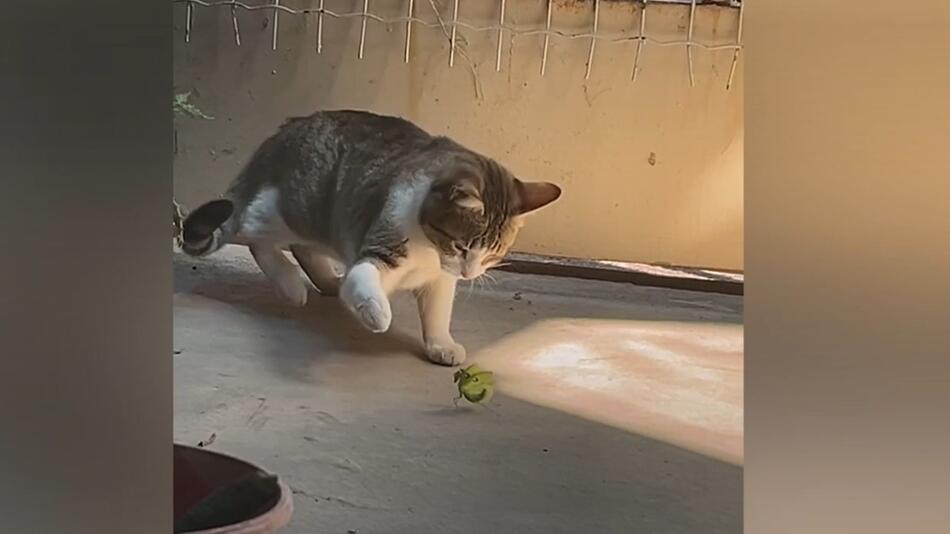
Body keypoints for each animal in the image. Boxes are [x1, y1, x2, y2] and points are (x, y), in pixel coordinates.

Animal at [182, 110, 560, 368]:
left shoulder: (440, 278)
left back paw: (325, 280)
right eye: (462, 245)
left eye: (492, 255)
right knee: (250, 230)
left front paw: (441, 345)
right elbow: (362, 281)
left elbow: (438, 313)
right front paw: (375, 313)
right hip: (296, 209)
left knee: (300, 246)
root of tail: (283, 133)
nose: (469, 273)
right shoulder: (381, 248)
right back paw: (291, 284)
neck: (428, 251)